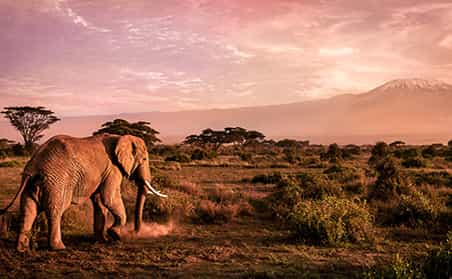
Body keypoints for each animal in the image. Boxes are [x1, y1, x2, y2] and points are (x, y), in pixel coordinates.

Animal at [0, 135, 168, 253]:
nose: (134, 233)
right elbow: (109, 197)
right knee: (55, 211)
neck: (121, 137)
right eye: (144, 159)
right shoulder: (113, 169)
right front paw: (115, 235)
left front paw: (103, 240)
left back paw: (21, 250)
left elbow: (100, 201)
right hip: (57, 182)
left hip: (30, 185)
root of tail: (34, 166)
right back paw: (59, 248)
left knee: (28, 211)